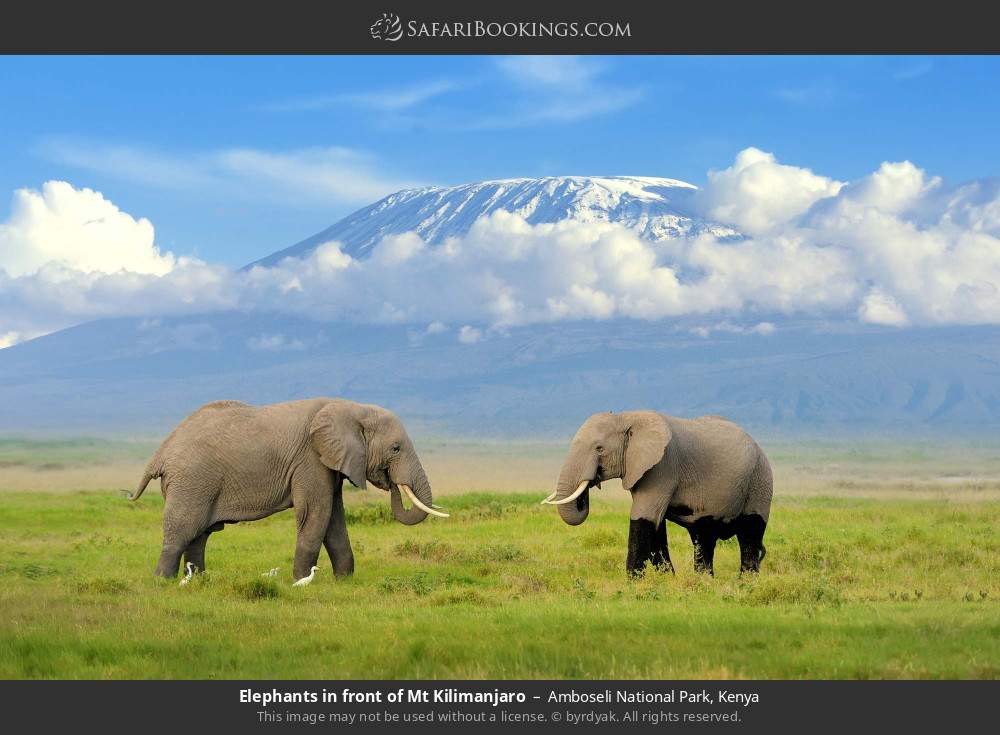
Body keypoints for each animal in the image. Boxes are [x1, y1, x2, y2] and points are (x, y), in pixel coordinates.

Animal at [129, 398, 446, 580]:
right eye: (396, 448)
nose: (390, 481)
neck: (351, 407)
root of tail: (161, 452)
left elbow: (334, 519)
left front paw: (344, 581)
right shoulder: (310, 460)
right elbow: (316, 514)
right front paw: (301, 581)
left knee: (200, 534)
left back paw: (200, 580)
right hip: (192, 482)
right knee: (183, 530)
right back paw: (163, 582)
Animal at [542, 411, 772, 577]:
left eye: (599, 448)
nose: (591, 482)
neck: (627, 417)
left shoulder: (662, 467)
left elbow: (644, 519)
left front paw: (634, 583)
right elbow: (656, 526)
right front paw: (667, 579)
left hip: (760, 480)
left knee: (750, 534)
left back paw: (746, 583)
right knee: (703, 538)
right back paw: (704, 582)